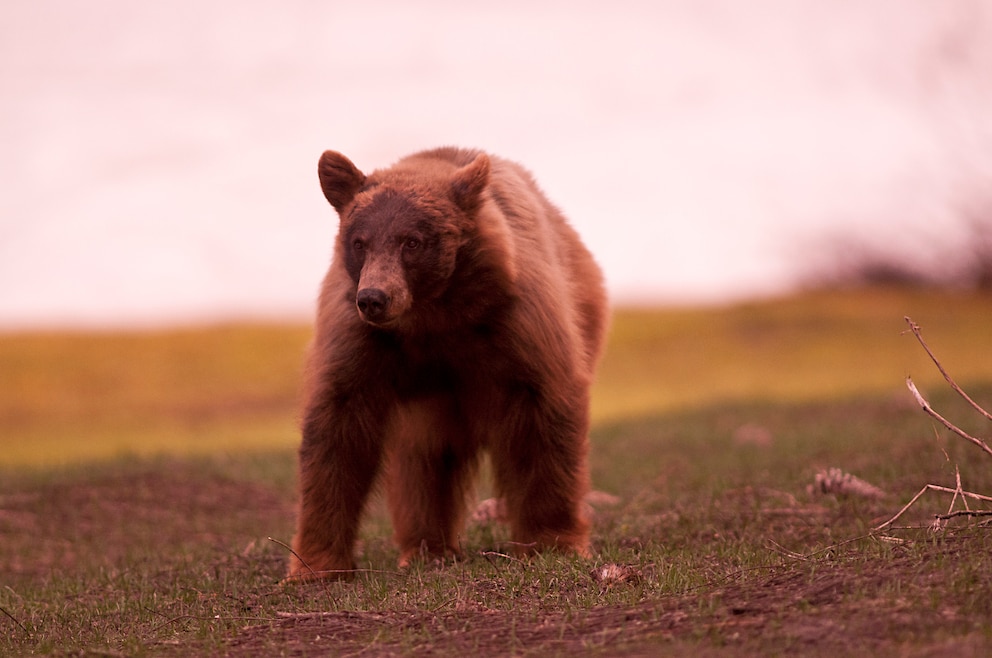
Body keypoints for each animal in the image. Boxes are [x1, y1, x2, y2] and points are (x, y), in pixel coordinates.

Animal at [286, 146, 608, 576]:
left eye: (412, 241)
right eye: (359, 242)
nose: (373, 298)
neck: (435, 316)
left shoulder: (518, 322)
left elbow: (543, 417)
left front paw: (554, 541)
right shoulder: (361, 339)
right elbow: (336, 430)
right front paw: (316, 565)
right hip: (429, 405)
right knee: (424, 459)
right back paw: (427, 547)